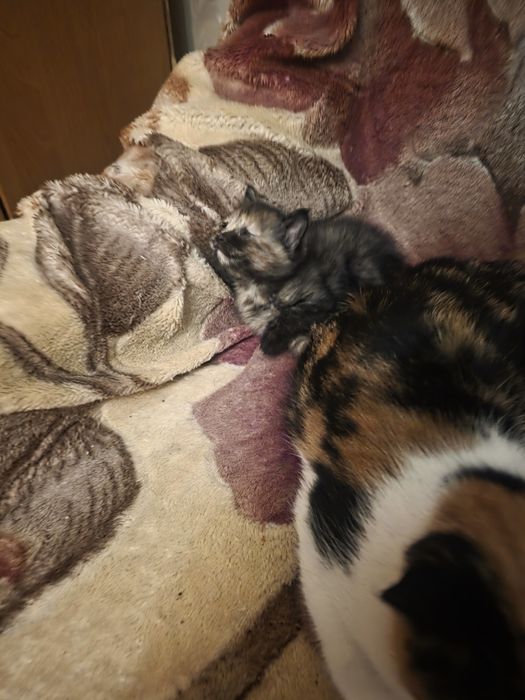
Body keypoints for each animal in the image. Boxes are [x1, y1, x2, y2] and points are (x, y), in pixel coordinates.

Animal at [211, 187, 404, 355]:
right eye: (225, 225)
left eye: (245, 233)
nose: (218, 237)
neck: (254, 284)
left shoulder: (321, 299)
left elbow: (292, 313)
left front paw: (270, 340)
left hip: (362, 266)